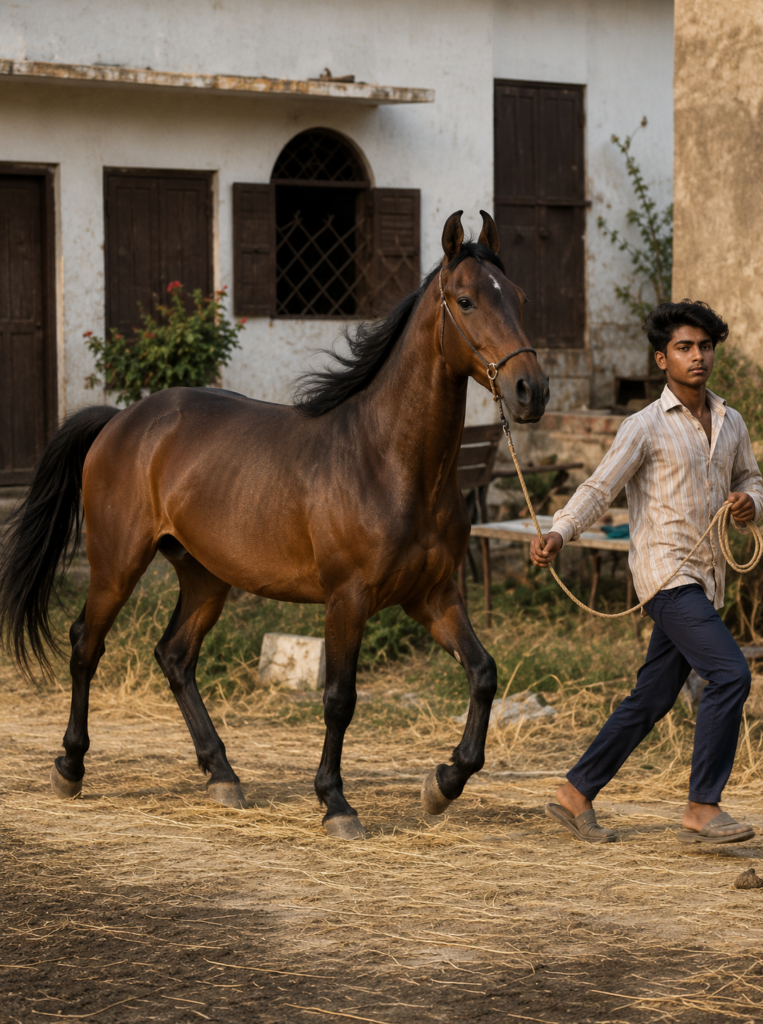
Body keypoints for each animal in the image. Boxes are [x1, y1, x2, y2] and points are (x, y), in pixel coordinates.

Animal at [0, 210, 548, 839]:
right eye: (465, 300)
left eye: (520, 298)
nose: (531, 390)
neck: (388, 461)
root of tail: (121, 420)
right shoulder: (348, 598)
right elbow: (340, 698)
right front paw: (336, 803)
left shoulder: (433, 596)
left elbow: (483, 674)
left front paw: (444, 783)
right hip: (117, 564)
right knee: (86, 645)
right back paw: (70, 766)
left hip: (205, 576)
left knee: (175, 656)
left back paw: (222, 775)